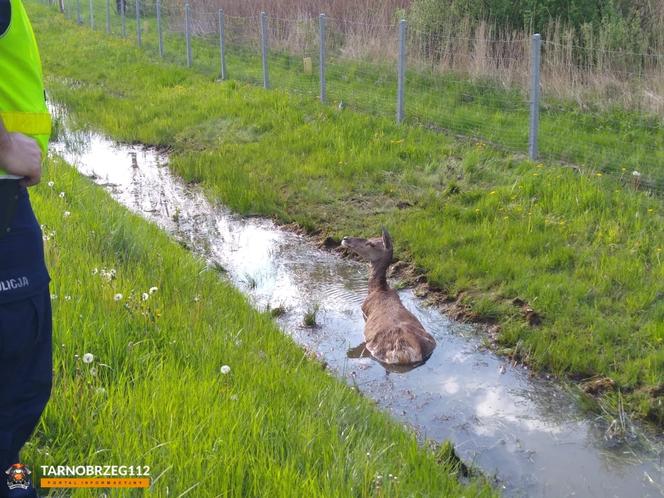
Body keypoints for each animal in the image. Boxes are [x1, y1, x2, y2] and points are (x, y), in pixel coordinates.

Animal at [342, 229, 436, 366]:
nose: (345, 238)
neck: (379, 289)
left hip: (377, 348)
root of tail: (412, 350)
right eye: (370, 238)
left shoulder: (364, 308)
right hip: (431, 342)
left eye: (371, 243)